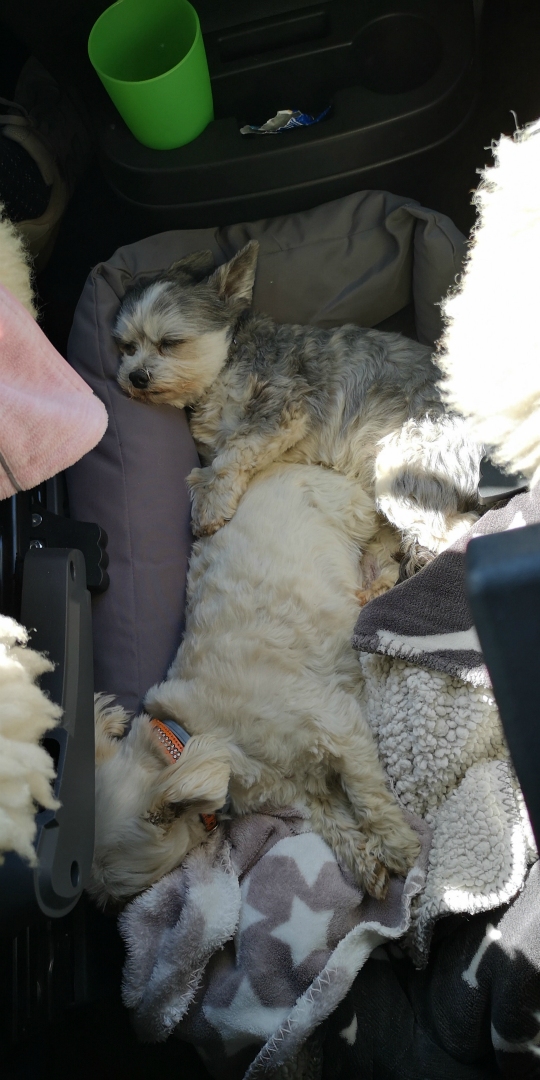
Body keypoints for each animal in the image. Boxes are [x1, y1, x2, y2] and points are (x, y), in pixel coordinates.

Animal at [89, 463, 421, 908]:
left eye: (116, 897)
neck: (193, 734)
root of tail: (284, 465)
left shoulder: (337, 725)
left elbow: (366, 795)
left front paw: (398, 846)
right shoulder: (298, 788)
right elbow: (332, 820)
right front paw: (367, 864)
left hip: (350, 510)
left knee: (382, 527)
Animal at [113, 242, 482, 580]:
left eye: (170, 343)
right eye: (127, 346)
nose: (136, 377)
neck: (227, 363)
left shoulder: (284, 407)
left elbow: (233, 453)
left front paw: (210, 503)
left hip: (403, 470)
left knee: (457, 527)